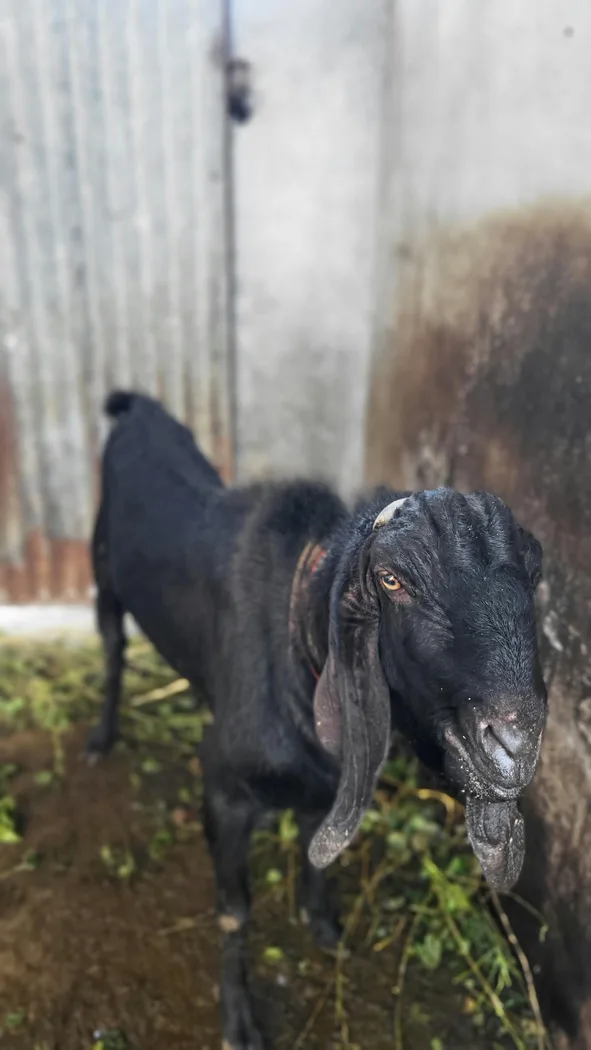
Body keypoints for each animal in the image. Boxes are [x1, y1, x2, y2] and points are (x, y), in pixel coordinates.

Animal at [88, 391, 547, 1050]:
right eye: (391, 579)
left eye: (535, 574)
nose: (513, 746)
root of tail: (136, 408)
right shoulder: (223, 791)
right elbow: (235, 910)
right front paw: (240, 1021)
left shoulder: (327, 782)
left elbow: (314, 849)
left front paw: (324, 925)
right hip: (102, 577)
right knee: (113, 654)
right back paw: (100, 737)